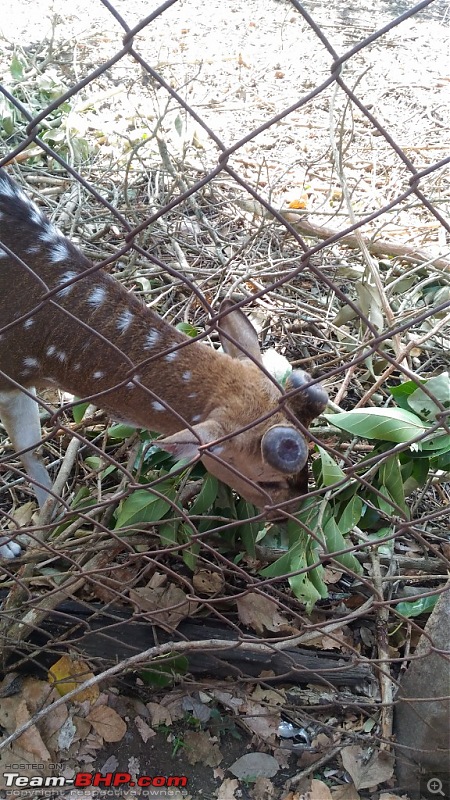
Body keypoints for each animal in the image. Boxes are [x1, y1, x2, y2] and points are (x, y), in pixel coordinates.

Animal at [0, 169, 326, 556]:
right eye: (269, 481)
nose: (296, 514)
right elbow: (27, 447)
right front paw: (12, 545)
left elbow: (30, 449)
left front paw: (51, 516)